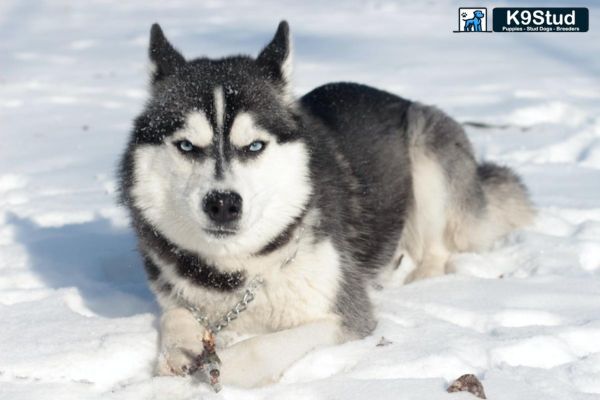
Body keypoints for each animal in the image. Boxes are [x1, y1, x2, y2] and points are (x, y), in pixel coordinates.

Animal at [118, 20, 536, 386]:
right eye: (187, 146)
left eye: (254, 146)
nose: (222, 204)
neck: (234, 274)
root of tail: (397, 97)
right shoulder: (177, 294)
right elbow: (174, 316)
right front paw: (179, 349)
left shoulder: (346, 318)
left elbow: (262, 346)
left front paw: (227, 364)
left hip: (425, 148)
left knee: (436, 249)